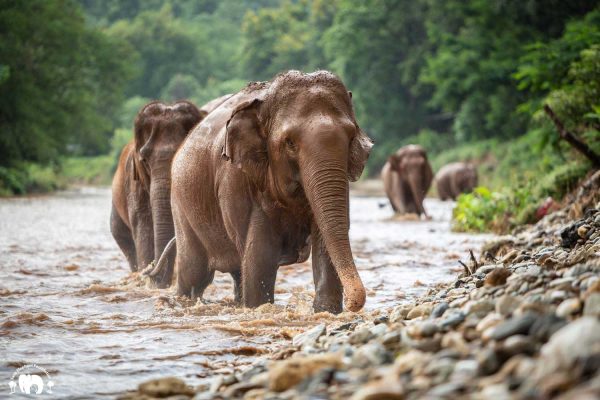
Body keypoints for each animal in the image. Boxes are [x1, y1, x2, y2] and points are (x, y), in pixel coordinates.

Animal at [148, 72, 372, 316]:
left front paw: (326, 311)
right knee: (194, 274)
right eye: (290, 142)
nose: (353, 304)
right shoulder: (236, 179)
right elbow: (260, 257)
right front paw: (259, 307)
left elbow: (324, 245)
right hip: (182, 207)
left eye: (351, 137)